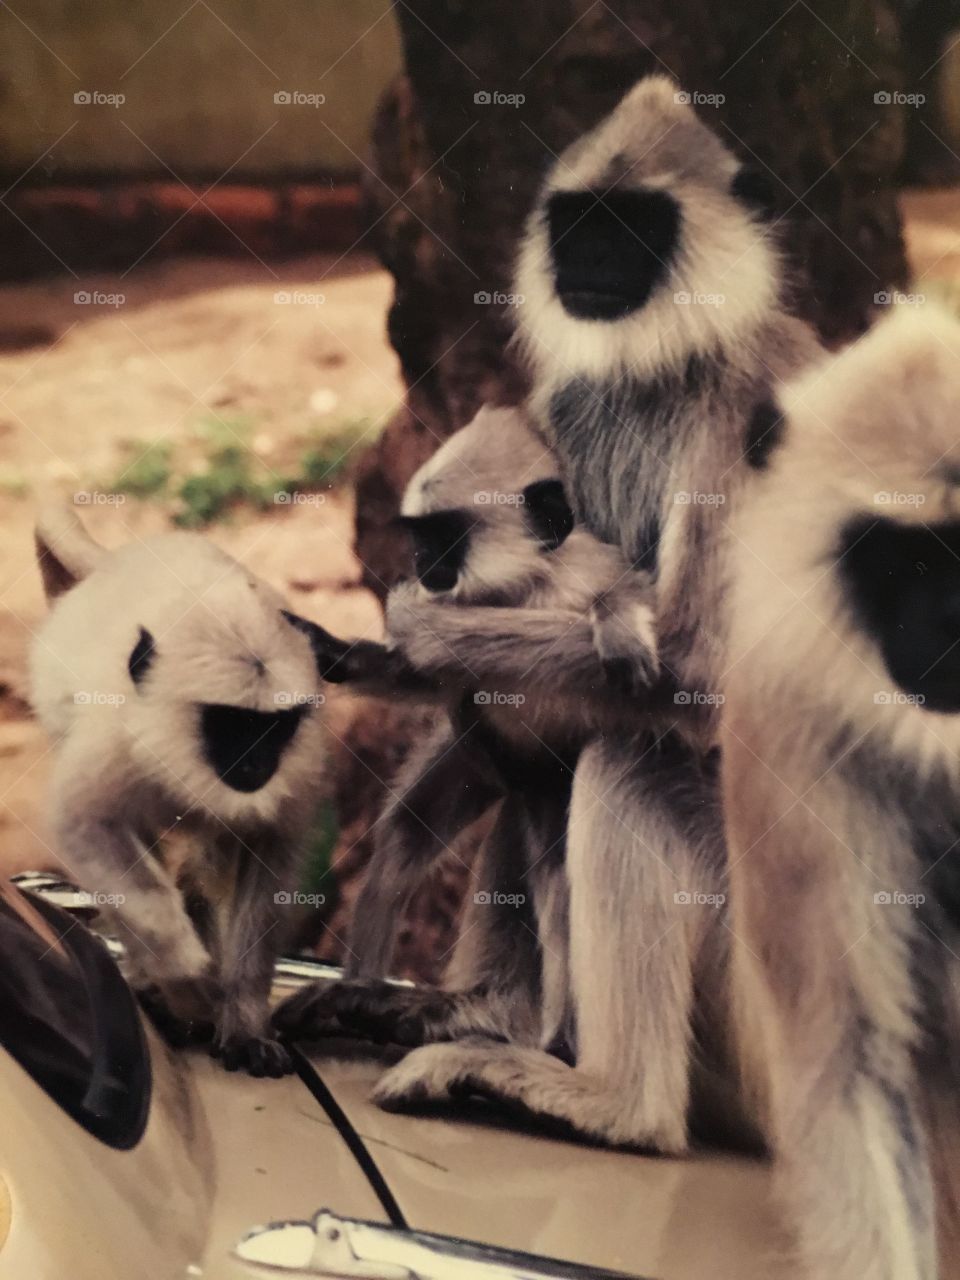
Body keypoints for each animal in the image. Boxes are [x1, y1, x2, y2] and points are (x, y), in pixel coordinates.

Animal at [29, 506, 329, 1077]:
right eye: (234, 725)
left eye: (274, 728)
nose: (257, 762)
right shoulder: (116, 739)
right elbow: (83, 823)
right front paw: (187, 980)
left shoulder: (299, 767)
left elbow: (270, 852)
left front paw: (244, 1019)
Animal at [273, 404, 664, 1063]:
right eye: (419, 534)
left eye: (445, 536)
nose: (421, 563)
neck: (522, 590)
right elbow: (431, 672)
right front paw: (329, 651)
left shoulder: (581, 573)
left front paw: (621, 624)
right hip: (473, 763)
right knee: (408, 832)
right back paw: (358, 994)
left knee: (553, 852)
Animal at [345, 74, 822, 1154]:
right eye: (577, 222)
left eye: (632, 225)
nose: (588, 262)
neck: (662, 366)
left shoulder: (752, 399)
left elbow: (698, 667)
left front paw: (419, 630)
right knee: (540, 769)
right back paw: (487, 1014)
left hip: (764, 997)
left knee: (622, 761)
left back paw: (608, 1099)